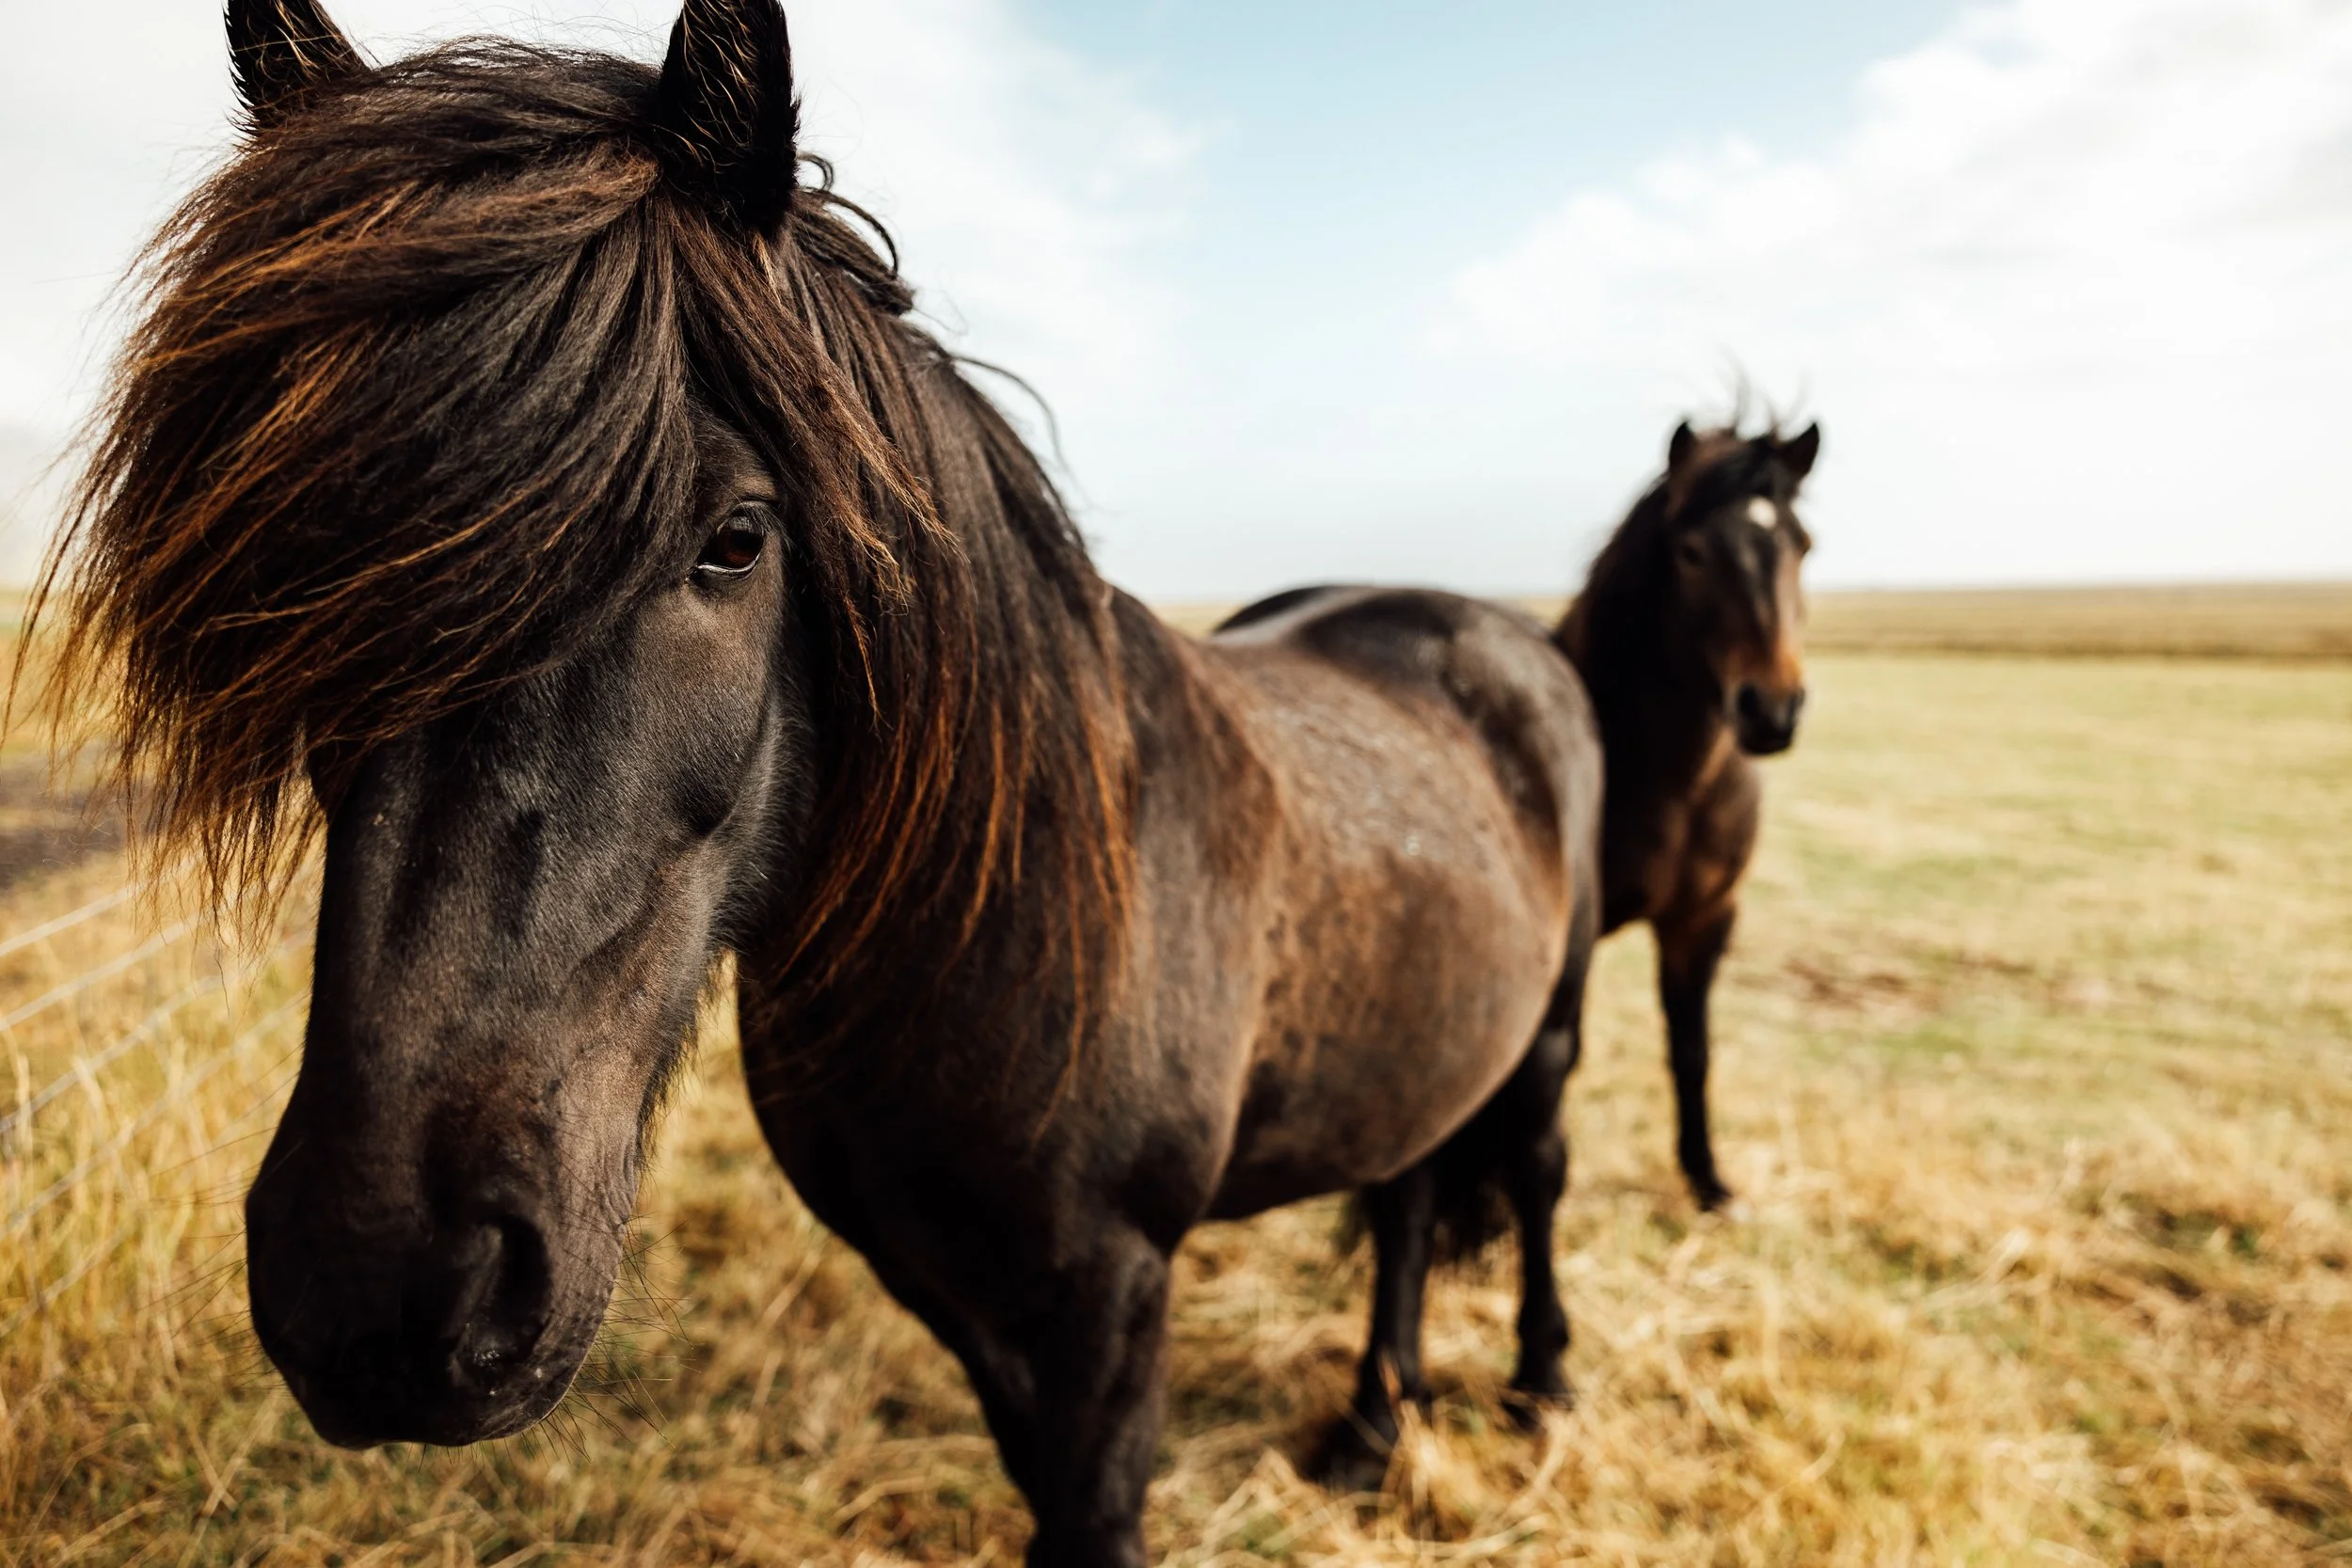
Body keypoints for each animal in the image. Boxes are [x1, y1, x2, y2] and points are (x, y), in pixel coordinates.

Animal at [29, 4, 1603, 1562]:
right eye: (302, 575)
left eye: (735, 538)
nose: (377, 1280)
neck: (1010, 912)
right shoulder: (963, 1290)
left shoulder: (1110, 1300)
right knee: (1407, 1195)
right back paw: (1372, 1429)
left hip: (1548, 1037)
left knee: (1529, 1172)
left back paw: (1539, 1385)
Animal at [1555, 418, 1819, 1210]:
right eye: (1693, 552)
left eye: (1803, 545)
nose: (1772, 709)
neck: (1673, 784)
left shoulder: (1703, 919)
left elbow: (1692, 1049)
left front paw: (1706, 1177)